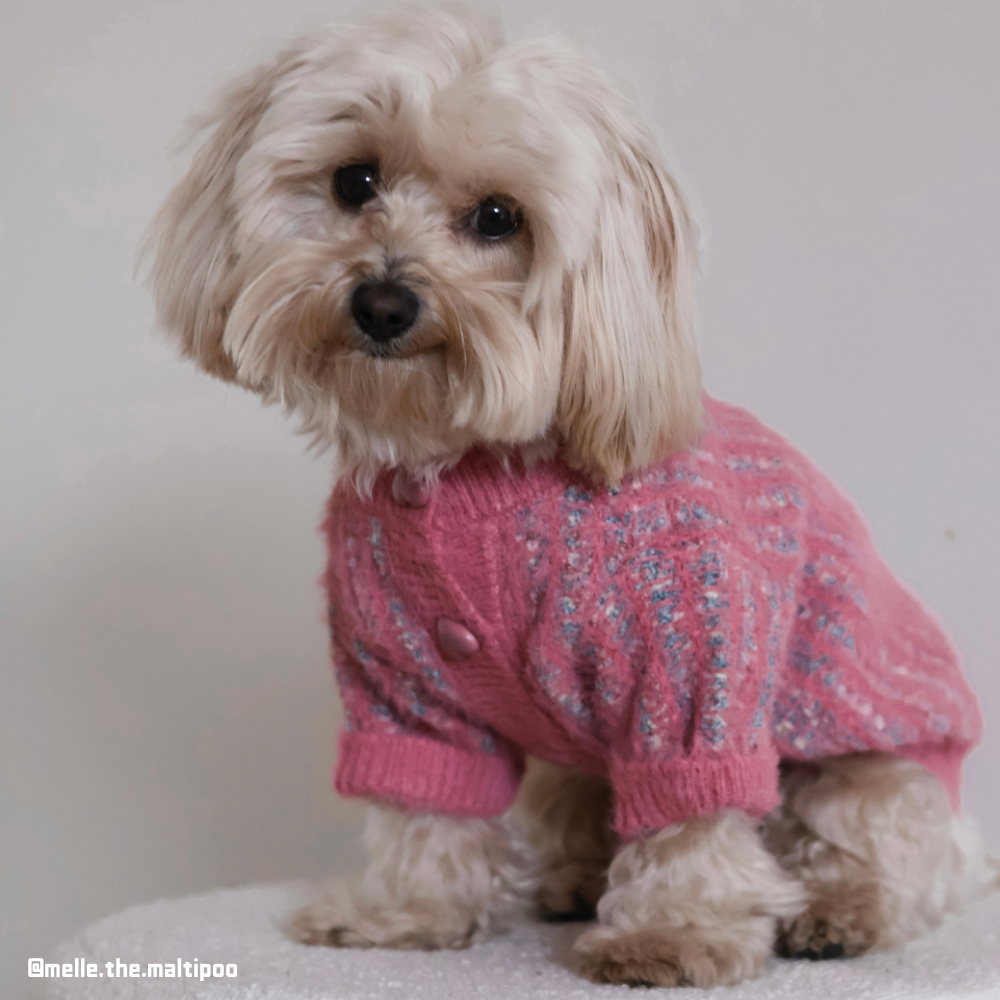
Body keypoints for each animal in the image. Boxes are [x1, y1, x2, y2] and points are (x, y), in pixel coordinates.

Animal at [145, 7, 996, 988]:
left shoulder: (690, 672)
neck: (469, 461)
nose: (384, 303)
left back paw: (838, 910)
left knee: (892, 855)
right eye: (353, 180)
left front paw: (675, 934)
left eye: (498, 218)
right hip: (571, 772)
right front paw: (404, 911)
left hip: (874, 772)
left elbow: (690, 815)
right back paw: (574, 881)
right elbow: (426, 801)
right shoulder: (405, 685)